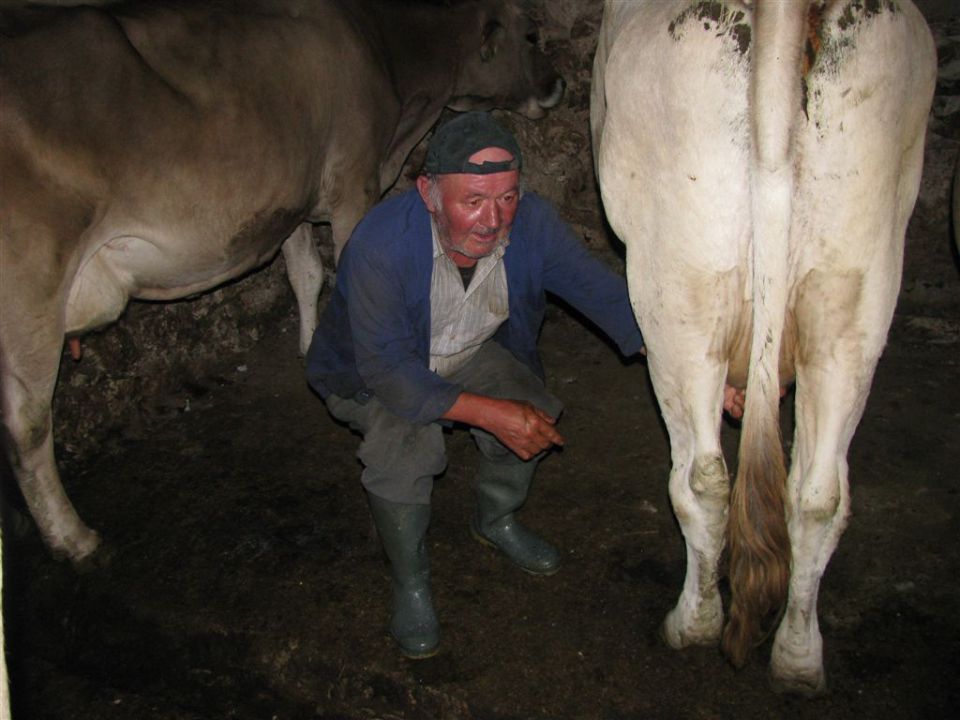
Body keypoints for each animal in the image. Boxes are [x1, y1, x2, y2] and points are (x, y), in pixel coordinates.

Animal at [592, 0, 936, 696]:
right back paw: (798, 660)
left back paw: (691, 626)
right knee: (818, 494)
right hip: (851, 296)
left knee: (703, 478)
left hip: (681, 292)